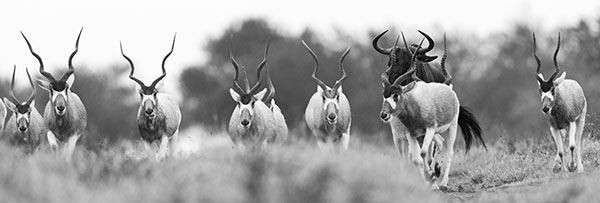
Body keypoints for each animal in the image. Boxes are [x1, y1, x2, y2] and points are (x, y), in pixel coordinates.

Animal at [21, 28, 87, 162]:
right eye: (51, 90)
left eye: (66, 89)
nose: (60, 108)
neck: (61, 123)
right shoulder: (50, 133)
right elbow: (54, 147)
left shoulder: (73, 137)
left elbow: (68, 154)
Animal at [382, 40, 486, 190]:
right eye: (384, 96)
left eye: (396, 96)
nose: (384, 114)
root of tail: (449, 90)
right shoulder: (410, 134)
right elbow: (416, 158)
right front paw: (426, 178)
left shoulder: (429, 130)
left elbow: (424, 154)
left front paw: (431, 178)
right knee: (412, 155)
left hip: (452, 127)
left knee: (448, 151)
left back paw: (442, 183)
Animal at [532, 33, 584, 173]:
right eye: (540, 90)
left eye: (552, 89)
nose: (545, 109)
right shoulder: (553, 127)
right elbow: (560, 151)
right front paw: (563, 170)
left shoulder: (571, 122)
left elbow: (572, 146)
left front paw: (572, 166)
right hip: (562, 128)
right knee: (564, 139)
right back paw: (558, 166)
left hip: (580, 120)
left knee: (577, 143)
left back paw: (580, 168)